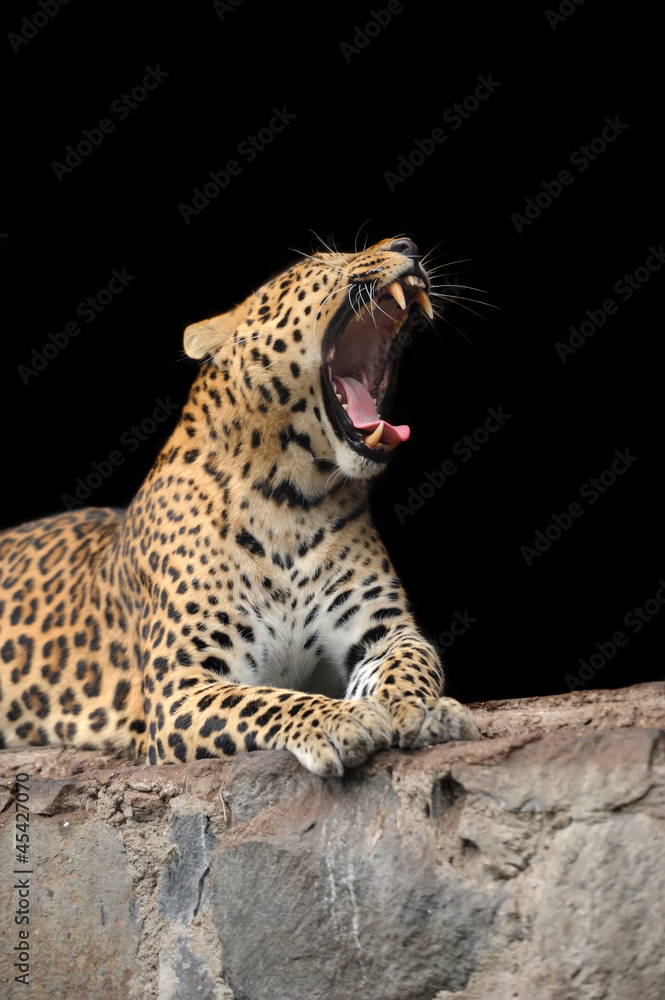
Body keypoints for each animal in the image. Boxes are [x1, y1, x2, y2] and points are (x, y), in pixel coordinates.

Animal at [0, 236, 479, 777]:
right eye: (323, 262)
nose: (407, 244)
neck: (289, 502)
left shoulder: (383, 631)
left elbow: (409, 663)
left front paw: (421, 708)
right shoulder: (181, 688)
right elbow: (268, 701)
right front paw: (341, 720)